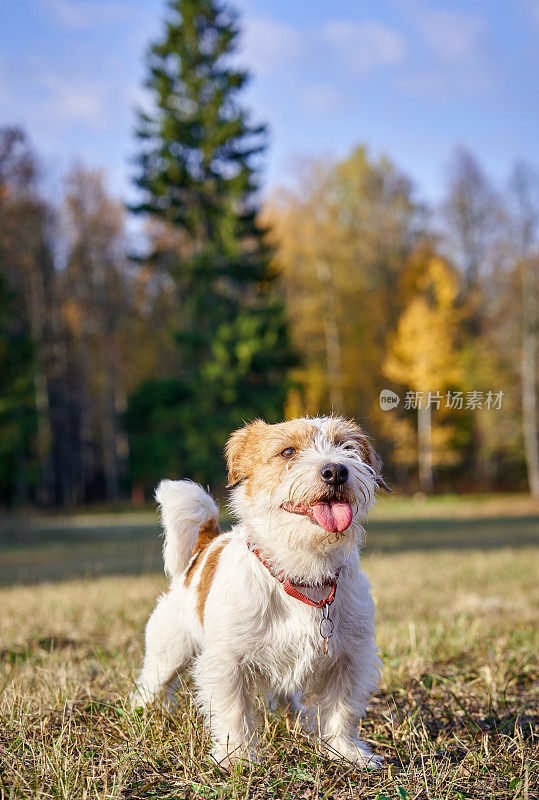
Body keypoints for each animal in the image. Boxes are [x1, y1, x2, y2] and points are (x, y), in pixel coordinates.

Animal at [132, 416, 388, 764]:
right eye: (288, 451)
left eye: (347, 447)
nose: (336, 470)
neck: (301, 571)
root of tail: (207, 544)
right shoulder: (228, 662)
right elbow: (233, 712)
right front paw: (237, 757)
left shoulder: (350, 658)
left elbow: (343, 710)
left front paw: (347, 752)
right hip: (167, 653)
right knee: (150, 685)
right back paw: (138, 713)